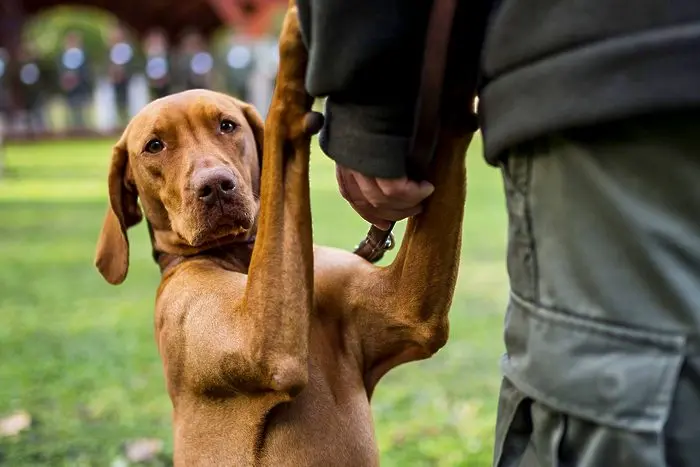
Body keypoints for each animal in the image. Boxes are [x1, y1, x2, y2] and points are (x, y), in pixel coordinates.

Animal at [94, 5, 476, 466]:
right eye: (154, 146)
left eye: (227, 125)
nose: (215, 187)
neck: (243, 259)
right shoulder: (263, 346)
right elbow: (279, 133)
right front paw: (292, 54)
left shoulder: (408, 311)